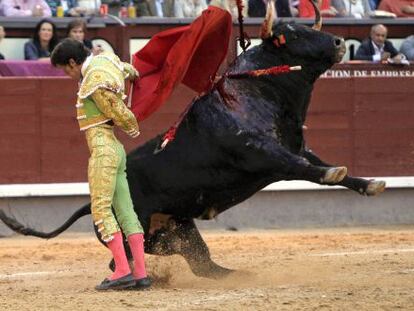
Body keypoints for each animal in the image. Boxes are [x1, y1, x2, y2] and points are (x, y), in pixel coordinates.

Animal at [0, 22, 384, 280]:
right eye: (297, 34)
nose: (339, 41)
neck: (258, 91)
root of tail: (91, 201)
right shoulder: (263, 154)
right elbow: (306, 168)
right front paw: (334, 173)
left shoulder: (296, 146)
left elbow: (323, 167)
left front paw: (369, 184)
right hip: (141, 227)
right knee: (123, 256)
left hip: (178, 229)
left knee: (201, 262)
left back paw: (231, 275)